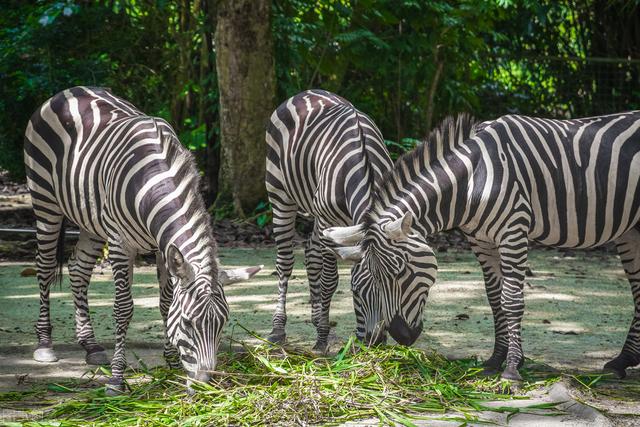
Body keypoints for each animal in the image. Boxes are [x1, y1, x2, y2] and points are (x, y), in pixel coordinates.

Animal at [24, 86, 260, 394]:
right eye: (188, 323)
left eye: (223, 323)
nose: (206, 384)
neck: (154, 180)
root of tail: (69, 91)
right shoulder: (120, 243)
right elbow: (123, 309)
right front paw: (116, 379)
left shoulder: (164, 247)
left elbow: (166, 302)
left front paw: (171, 362)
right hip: (45, 202)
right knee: (45, 267)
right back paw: (44, 345)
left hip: (91, 220)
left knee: (78, 269)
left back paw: (91, 345)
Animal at [264, 90, 436, 352]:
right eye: (356, 292)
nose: (376, 341)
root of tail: (306, 93)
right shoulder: (327, 221)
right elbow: (329, 280)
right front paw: (321, 341)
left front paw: (323, 331)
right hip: (280, 195)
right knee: (285, 262)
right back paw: (278, 329)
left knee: (311, 255)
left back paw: (317, 320)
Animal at [328, 113, 640, 382]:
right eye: (360, 288)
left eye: (400, 271)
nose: (402, 337)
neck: (470, 182)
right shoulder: (481, 240)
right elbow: (494, 299)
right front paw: (495, 361)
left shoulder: (513, 232)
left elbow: (511, 300)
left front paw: (512, 370)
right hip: (630, 230)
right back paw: (622, 361)